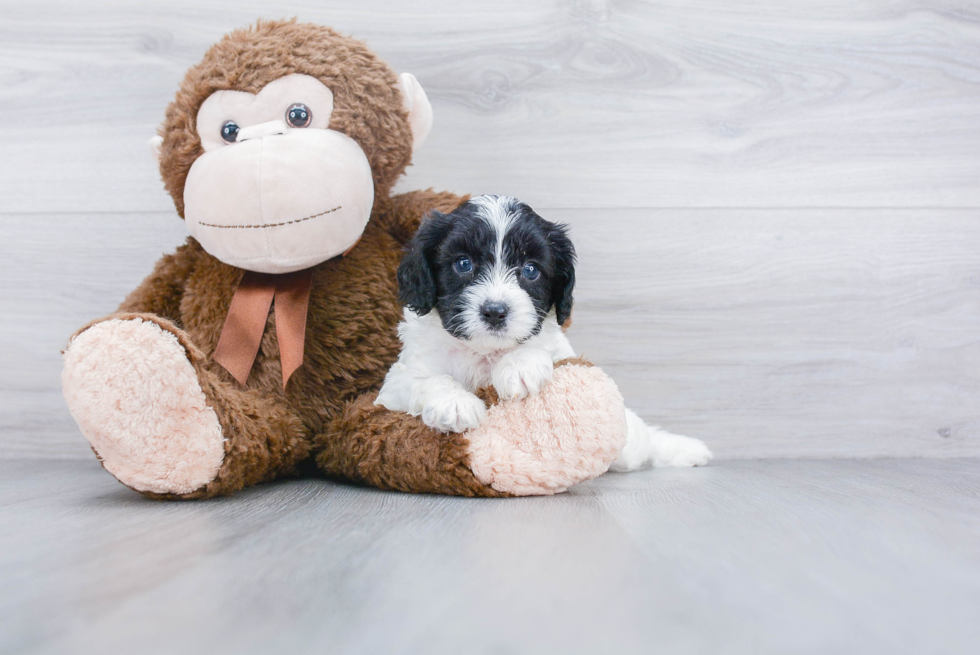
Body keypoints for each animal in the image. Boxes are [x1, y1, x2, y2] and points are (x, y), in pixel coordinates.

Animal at [376, 195, 712, 472]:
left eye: (530, 269)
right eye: (463, 264)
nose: (495, 311)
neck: (484, 352)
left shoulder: (563, 351)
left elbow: (543, 347)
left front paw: (518, 366)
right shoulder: (391, 389)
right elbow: (425, 380)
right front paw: (454, 403)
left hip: (629, 442)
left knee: (643, 442)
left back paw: (685, 449)